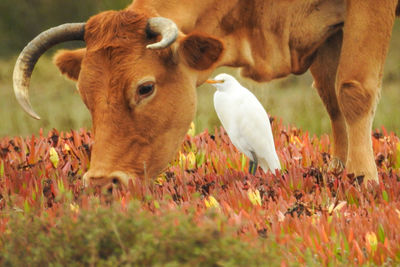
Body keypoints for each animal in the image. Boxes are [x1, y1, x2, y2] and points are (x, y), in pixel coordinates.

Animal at [12, 0, 400, 191]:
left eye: (145, 87)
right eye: (84, 94)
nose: (102, 182)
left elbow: (352, 89)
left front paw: (363, 179)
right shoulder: (329, 32)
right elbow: (331, 99)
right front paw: (337, 171)